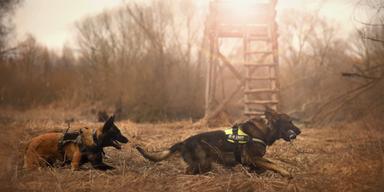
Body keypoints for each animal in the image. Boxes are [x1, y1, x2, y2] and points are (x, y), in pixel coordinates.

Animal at [136, 107, 302, 178]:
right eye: (289, 122)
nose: (300, 131)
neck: (265, 129)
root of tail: (183, 142)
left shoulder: (253, 160)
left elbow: (266, 165)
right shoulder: (252, 157)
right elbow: (273, 164)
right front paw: (285, 173)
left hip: (204, 164)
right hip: (201, 164)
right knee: (187, 171)